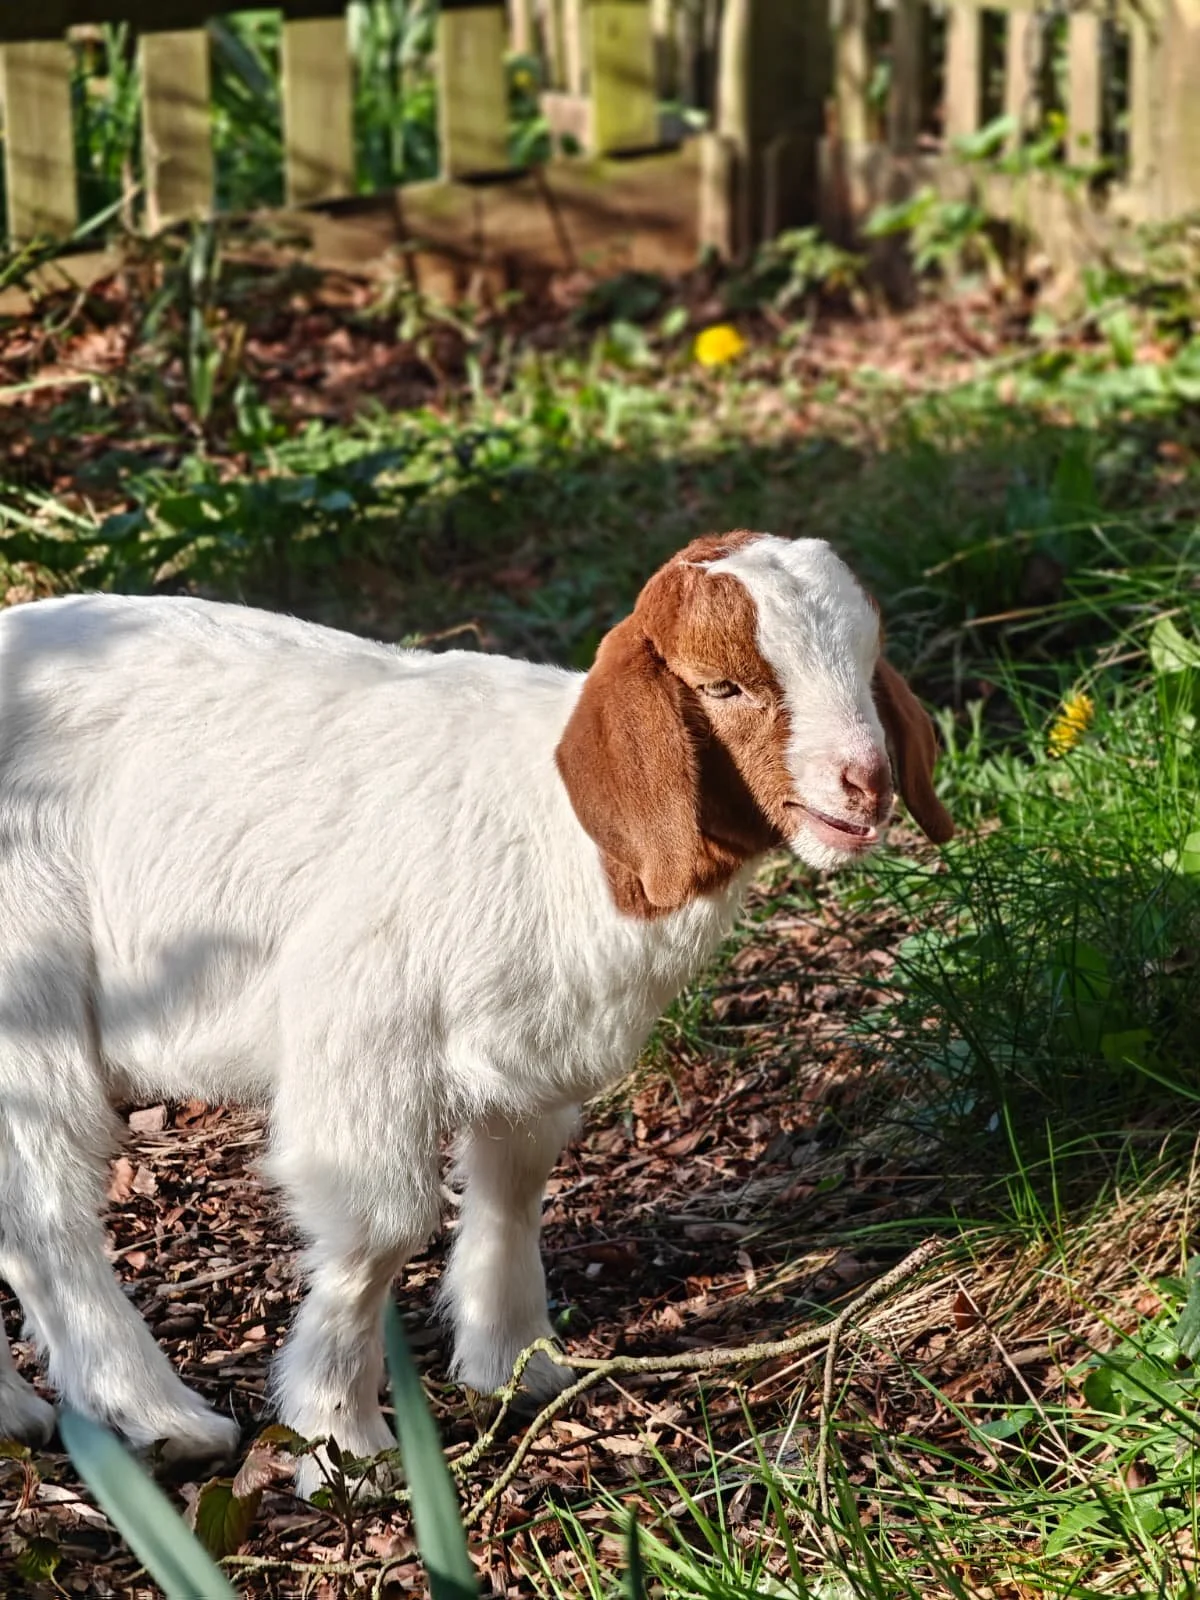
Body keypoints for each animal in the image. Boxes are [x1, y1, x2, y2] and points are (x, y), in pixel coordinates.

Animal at [0, 531, 952, 1491]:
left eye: (866, 658)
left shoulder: (526, 1051)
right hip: (25, 984)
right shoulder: (362, 1034)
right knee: (43, 1210)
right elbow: (380, 1231)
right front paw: (342, 1442)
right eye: (723, 685)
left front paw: (518, 1365)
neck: (566, 836)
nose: (866, 782)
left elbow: (515, 1183)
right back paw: (158, 1417)